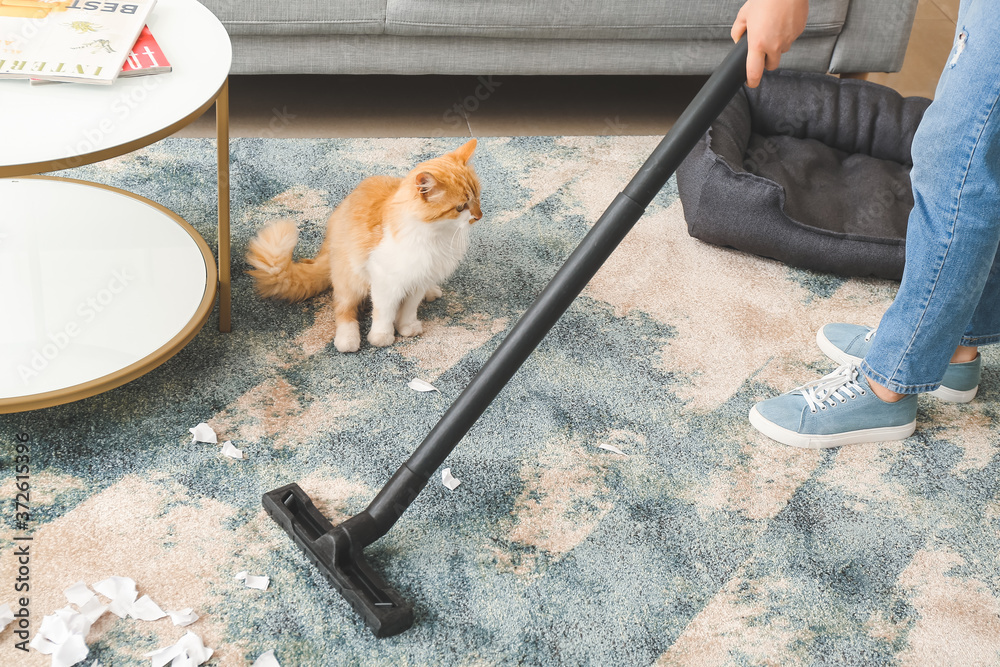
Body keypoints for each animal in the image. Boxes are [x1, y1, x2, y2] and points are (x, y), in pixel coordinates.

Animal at [249, 138, 484, 352]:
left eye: (477, 198)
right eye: (460, 207)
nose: (478, 217)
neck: (435, 236)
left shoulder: (420, 277)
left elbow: (409, 308)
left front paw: (406, 326)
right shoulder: (385, 279)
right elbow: (384, 312)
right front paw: (382, 336)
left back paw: (431, 291)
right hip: (349, 278)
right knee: (343, 310)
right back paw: (347, 339)